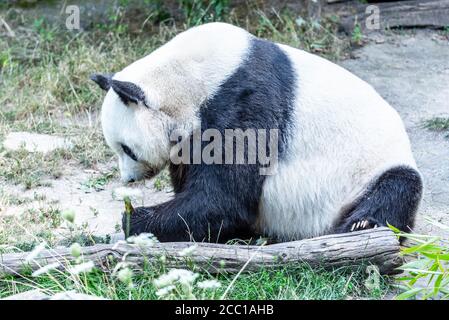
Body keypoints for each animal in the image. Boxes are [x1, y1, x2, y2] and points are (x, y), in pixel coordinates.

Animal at [92, 22, 424, 242]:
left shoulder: (244, 99)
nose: (128, 179)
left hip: (372, 167)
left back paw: (360, 226)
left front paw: (134, 218)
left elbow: (225, 198)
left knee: (398, 188)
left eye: (127, 149)